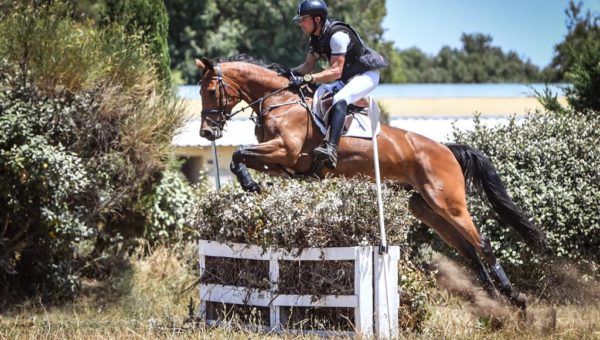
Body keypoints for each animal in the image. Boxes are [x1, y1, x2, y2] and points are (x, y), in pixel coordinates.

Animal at [195, 56, 548, 310]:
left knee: (482, 243)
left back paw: (514, 298)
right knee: (468, 250)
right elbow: (240, 156)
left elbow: (238, 153)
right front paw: (252, 185)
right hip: (426, 208)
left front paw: (251, 186)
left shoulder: (286, 151)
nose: (207, 133)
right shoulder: (281, 162)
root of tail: (446, 149)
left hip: (449, 203)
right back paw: (494, 300)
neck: (280, 101)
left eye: (211, 92)